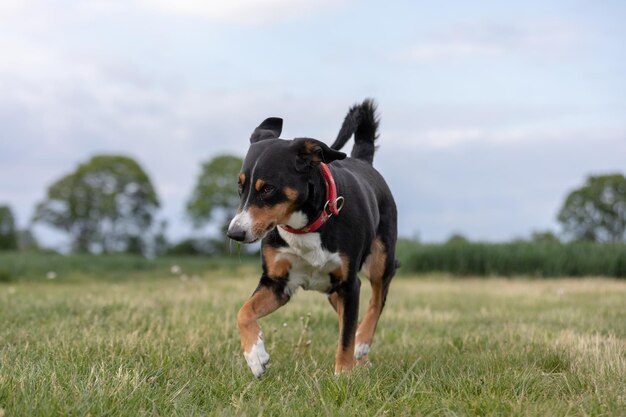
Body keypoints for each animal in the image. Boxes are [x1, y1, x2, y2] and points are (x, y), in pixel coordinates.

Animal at [227, 98, 398, 376]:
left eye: (268, 188)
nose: (235, 232)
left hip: (380, 260)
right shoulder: (277, 282)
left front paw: (343, 374)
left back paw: (363, 344)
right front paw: (255, 356)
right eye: (240, 186)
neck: (304, 228)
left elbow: (346, 337)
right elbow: (243, 312)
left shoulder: (350, 284)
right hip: (333, 291)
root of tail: (363, 161)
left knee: (375, 303)